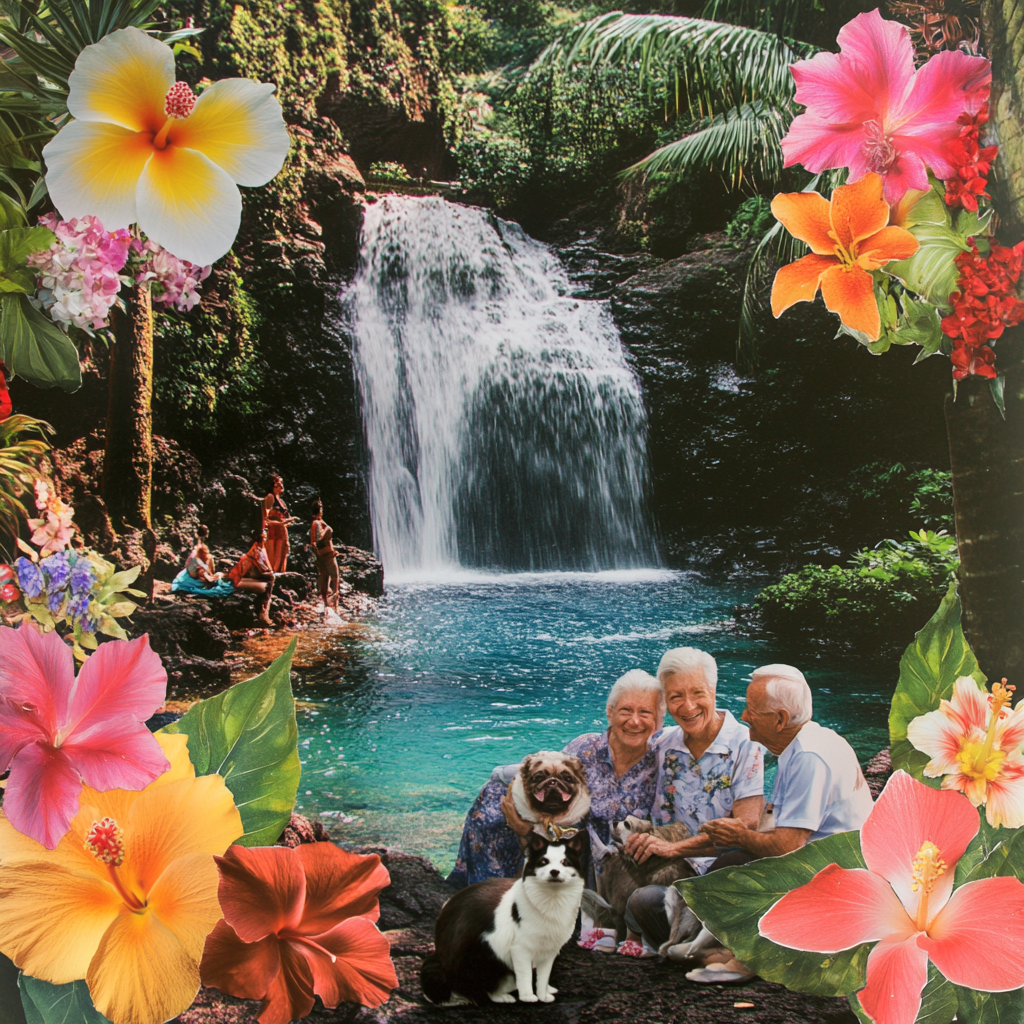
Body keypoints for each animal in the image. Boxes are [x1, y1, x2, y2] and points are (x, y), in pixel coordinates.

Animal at [421, 831, 585, 999]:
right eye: (544, 862)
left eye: (565, 862)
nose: (554, 872)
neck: (552, 897)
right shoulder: (520, 948)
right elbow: (525, 974)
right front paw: (528, 997)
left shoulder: (549, 951)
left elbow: (543, 977)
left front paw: (543, 996)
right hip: (486, 954)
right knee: (481, 988)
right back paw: (503, 997)